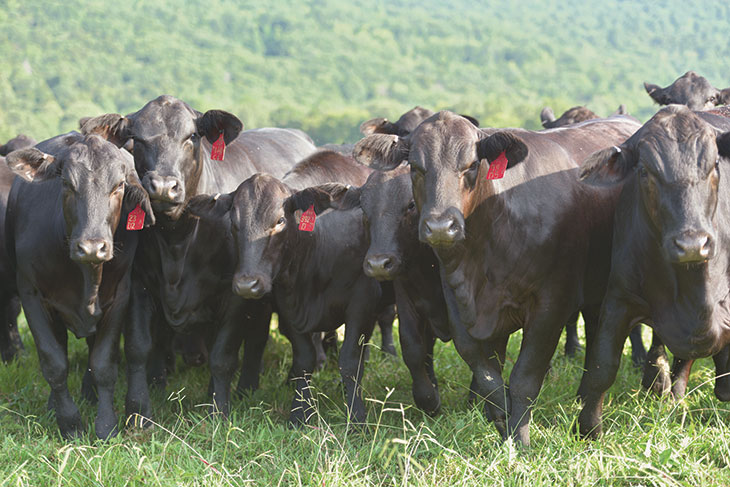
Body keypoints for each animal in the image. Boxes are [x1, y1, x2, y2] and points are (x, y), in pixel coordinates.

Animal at [5, 132, 154, 438]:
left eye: (118, 186)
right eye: (66, 184)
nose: (92, 247)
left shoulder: (120, 296)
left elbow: (103, 364)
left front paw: (106, 425)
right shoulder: (31, 296)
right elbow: (54, 362)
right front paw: (70, 423)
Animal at [82, 95, 316, 416]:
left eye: (191, 136)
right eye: (137, 140)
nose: (163, 186)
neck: (178, 239)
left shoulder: (236, 290)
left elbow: (223, 355)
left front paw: (219, 408)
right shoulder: (139, 283)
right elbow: (139, 347)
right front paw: (140, 408)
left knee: (256, 339)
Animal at [186, 154, 382, 426]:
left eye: (279, 221)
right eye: (234, 223)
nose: (247, 284)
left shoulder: (362, 302)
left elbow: (351, 361)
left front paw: (356, 418)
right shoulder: (288, 305)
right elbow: (304, 359)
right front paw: (300, 413)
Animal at [356, 110, 640, 446]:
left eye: (471, 165)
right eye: (415, 167)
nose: (440, 226)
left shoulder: (551, 305)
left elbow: (524, 378)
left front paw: (521, 440)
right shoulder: (458, 304)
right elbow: (488, 376)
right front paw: (502, 422)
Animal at [576, 106, 728, 438]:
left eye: (714, 166)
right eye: (645, 171)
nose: (692, 244)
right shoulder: (619, 298)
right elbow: (602, 368)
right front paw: (588, 429)